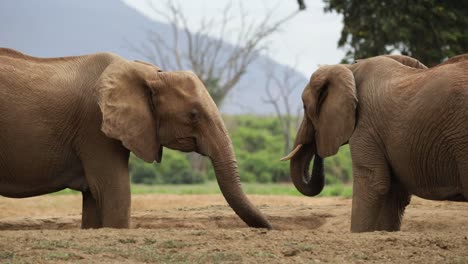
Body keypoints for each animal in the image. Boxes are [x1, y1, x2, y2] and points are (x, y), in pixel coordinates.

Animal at [0, 47, 270, 229]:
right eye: (193, 115)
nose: (270, 227)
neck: (149, 74)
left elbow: (95, 200)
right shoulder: (95, 128)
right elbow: (115, 193)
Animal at [282, 53, 468, 231]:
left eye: (305, 107)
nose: (317, 146)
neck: (350, 68)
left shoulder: (366, 127)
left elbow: (372, 183)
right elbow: (395, 194)